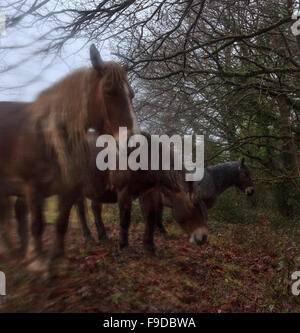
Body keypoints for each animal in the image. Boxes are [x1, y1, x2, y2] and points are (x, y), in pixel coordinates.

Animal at [0, 44, 138, 272]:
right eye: (109, 92)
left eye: (132, 95)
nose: (131, 143)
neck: (49, 138)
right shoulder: (32, 188)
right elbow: (37, 224)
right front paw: (38, 262)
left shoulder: (69, 188)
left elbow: (61, 223)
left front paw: (59, 260)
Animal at [12, 131, 209, 253]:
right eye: (193, 203)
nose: (203, 237)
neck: (141, 157)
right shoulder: (124, 192)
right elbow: (125, 220)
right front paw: (124, 246)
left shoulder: (149, 193)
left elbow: (151, 217)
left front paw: (149, 246)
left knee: (88, 209)